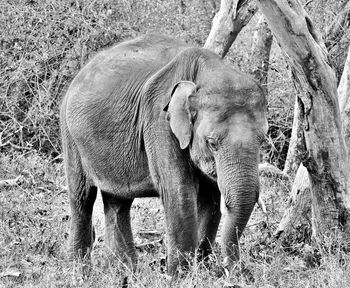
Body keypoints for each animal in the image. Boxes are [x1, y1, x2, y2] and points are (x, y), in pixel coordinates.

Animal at [60, 33, 268, 274]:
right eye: (212, 143)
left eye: (262, 140)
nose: (237, 270)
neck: (208, 71)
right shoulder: (159, 120)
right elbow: (179, 192)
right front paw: (182, 276)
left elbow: (211, 196)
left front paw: (202, 269)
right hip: (70, 135)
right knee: (82, 198)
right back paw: (80, 272)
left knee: (118, 202)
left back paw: (125, 273)